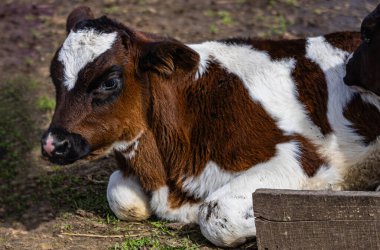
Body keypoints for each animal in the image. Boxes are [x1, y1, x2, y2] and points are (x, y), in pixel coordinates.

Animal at [41, 5, 380, 248]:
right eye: (54, 77)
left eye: (109, 81)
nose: (53, 143)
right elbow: (121, 197)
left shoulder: (300, 156)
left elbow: (216, 213)